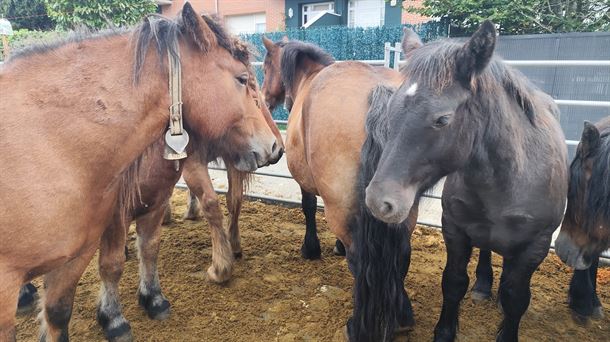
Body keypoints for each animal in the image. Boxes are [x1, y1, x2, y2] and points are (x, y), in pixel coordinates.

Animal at [0, 4, 278, 340]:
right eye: (242, 79)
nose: (275, 147)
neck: (55, 144)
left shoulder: (151, 207)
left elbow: (148, 249)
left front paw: (152, 298)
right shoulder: (115, 218)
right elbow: (111, 265)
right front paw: (113, 318)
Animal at [360, 21, 564, 342]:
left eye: (442, 120)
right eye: (392, 109)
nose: (378, 201)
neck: (511, 179)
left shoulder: (536, 245)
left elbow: (516, 298)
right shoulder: (455, 230)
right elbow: (453, 283)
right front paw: (445, 332)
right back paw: (482, 285)